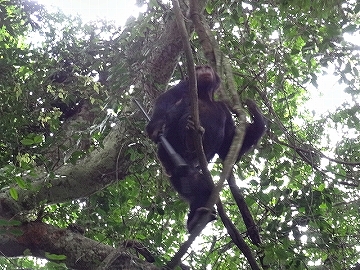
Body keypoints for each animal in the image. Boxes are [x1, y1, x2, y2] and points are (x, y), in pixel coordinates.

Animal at [145, 65, 266, 232]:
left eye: (207, 67)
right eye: (199, 68)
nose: (204, 70)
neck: (203, 94)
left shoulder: (224, 109)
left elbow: (227, 146)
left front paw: (256, 114)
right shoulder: (180, 87)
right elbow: (166, 100)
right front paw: (155, 127)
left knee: (196, 181)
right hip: (167, 153)